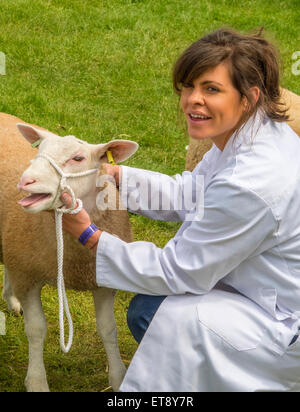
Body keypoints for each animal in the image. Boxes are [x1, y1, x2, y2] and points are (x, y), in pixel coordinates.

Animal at [0, 113, 138, 392]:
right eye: (38, 150)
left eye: (78, 158)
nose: (25, 181)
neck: (74, 261)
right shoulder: (28, 275)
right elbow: (36, 329)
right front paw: (37, 381)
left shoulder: (102, 280)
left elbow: (108, 329)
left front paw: (118, 377)